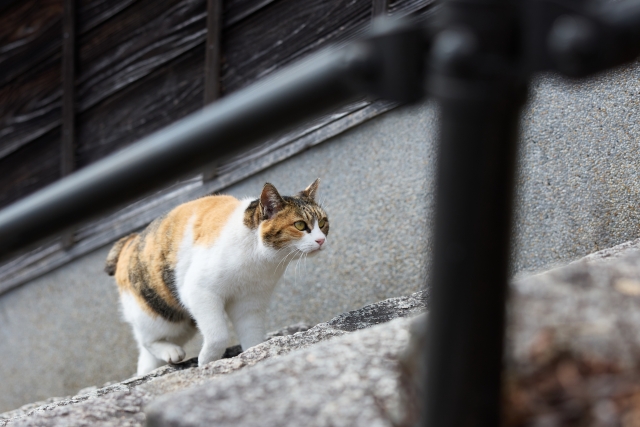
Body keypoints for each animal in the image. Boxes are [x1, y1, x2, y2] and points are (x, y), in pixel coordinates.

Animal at [104, 180, 330, 374]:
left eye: (323, 223)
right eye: (300, 225)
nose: (321, 240)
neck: (258, 259)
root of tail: (129, 241)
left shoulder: (249, 303)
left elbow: (253, 334)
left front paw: (255, 355)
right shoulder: (199, 292)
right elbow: (218, 335)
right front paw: (207, 362)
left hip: (184, 324)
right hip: (161, 313)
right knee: (146, 340)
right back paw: (171, 352)